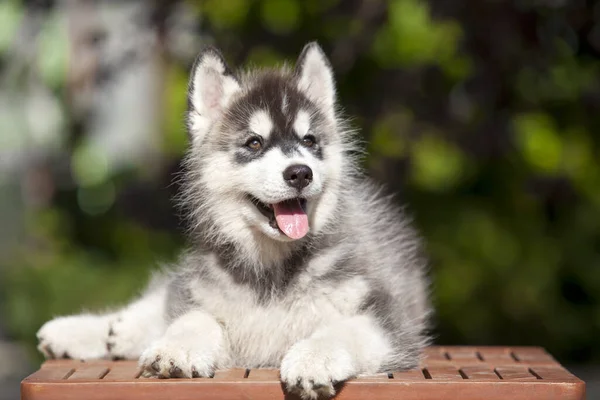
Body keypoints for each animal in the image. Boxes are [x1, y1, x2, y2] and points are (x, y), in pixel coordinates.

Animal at [37, 42, 428, 398]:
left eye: (309, 140)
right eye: (254, 143)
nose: (300, 173)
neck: (271, 268)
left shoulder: (389, 320)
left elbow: (340, 331)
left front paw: (312, 360)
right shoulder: (210, 300)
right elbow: (193, 318)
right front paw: (175, 348)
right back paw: (93, 329)